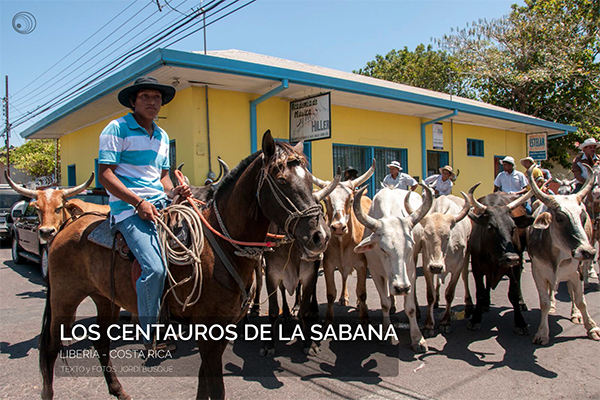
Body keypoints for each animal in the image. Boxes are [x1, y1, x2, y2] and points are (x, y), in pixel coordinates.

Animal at [37, 130, 338, 396]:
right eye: (281, 180)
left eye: (309, 181)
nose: (319, 235)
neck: (220, 249)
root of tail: (66, 226)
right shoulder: (209, 332)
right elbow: (215, 388)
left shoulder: (220, 332)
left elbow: (204, 384)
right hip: (65, 300)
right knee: (50, 349)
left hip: (105, 298)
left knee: (101, 344)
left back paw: (118, 390)